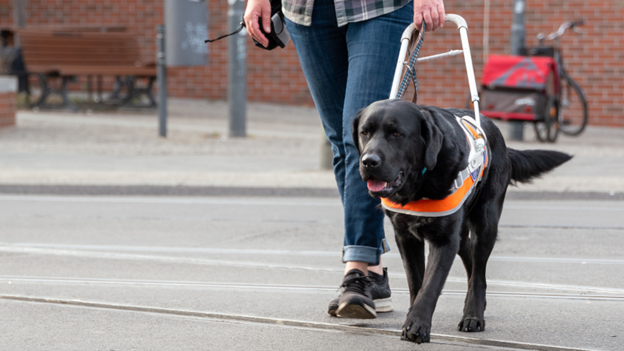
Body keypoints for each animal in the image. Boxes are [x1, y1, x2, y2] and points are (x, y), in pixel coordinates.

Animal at [352, 99, 572, 344]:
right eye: (364, 133)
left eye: (397, 133)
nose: (368, 161)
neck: (421, 182)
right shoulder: (406, 237)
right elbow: (416, 282)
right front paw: (412, 320)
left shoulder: (444, 240)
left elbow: (431, 285)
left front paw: (417, 325)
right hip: (463, 231)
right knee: (469, 258)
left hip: (486, 224)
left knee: (478, 273)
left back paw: (473, 315)